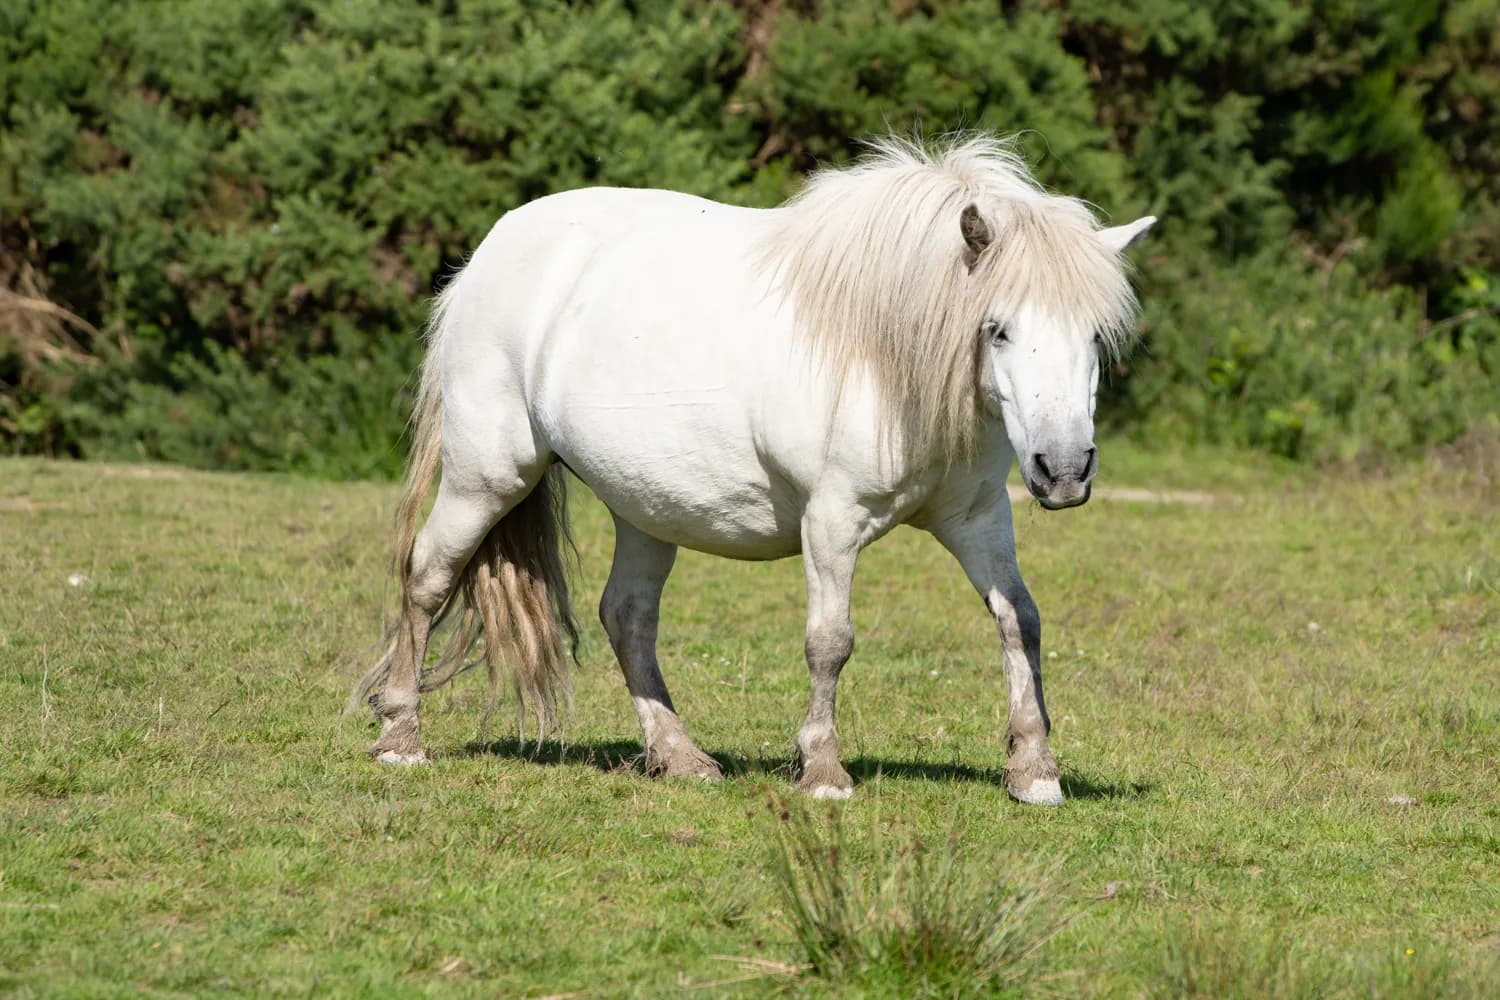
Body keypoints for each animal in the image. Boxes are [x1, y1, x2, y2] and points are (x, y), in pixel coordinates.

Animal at [349, 134, 1154, 805]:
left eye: (1093, 334)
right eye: (998, 329)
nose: (1064, 470)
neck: (885, 351)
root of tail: (486, 258)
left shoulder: (979, 517)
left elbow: (1020, 620)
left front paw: (1035, 770)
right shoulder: (831, 520)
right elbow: (830, 642)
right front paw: (824, 771)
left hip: (644, 505)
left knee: (627, 617)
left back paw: (678, 755)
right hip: (487, 475)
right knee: (427, 576)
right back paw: (400, 735)